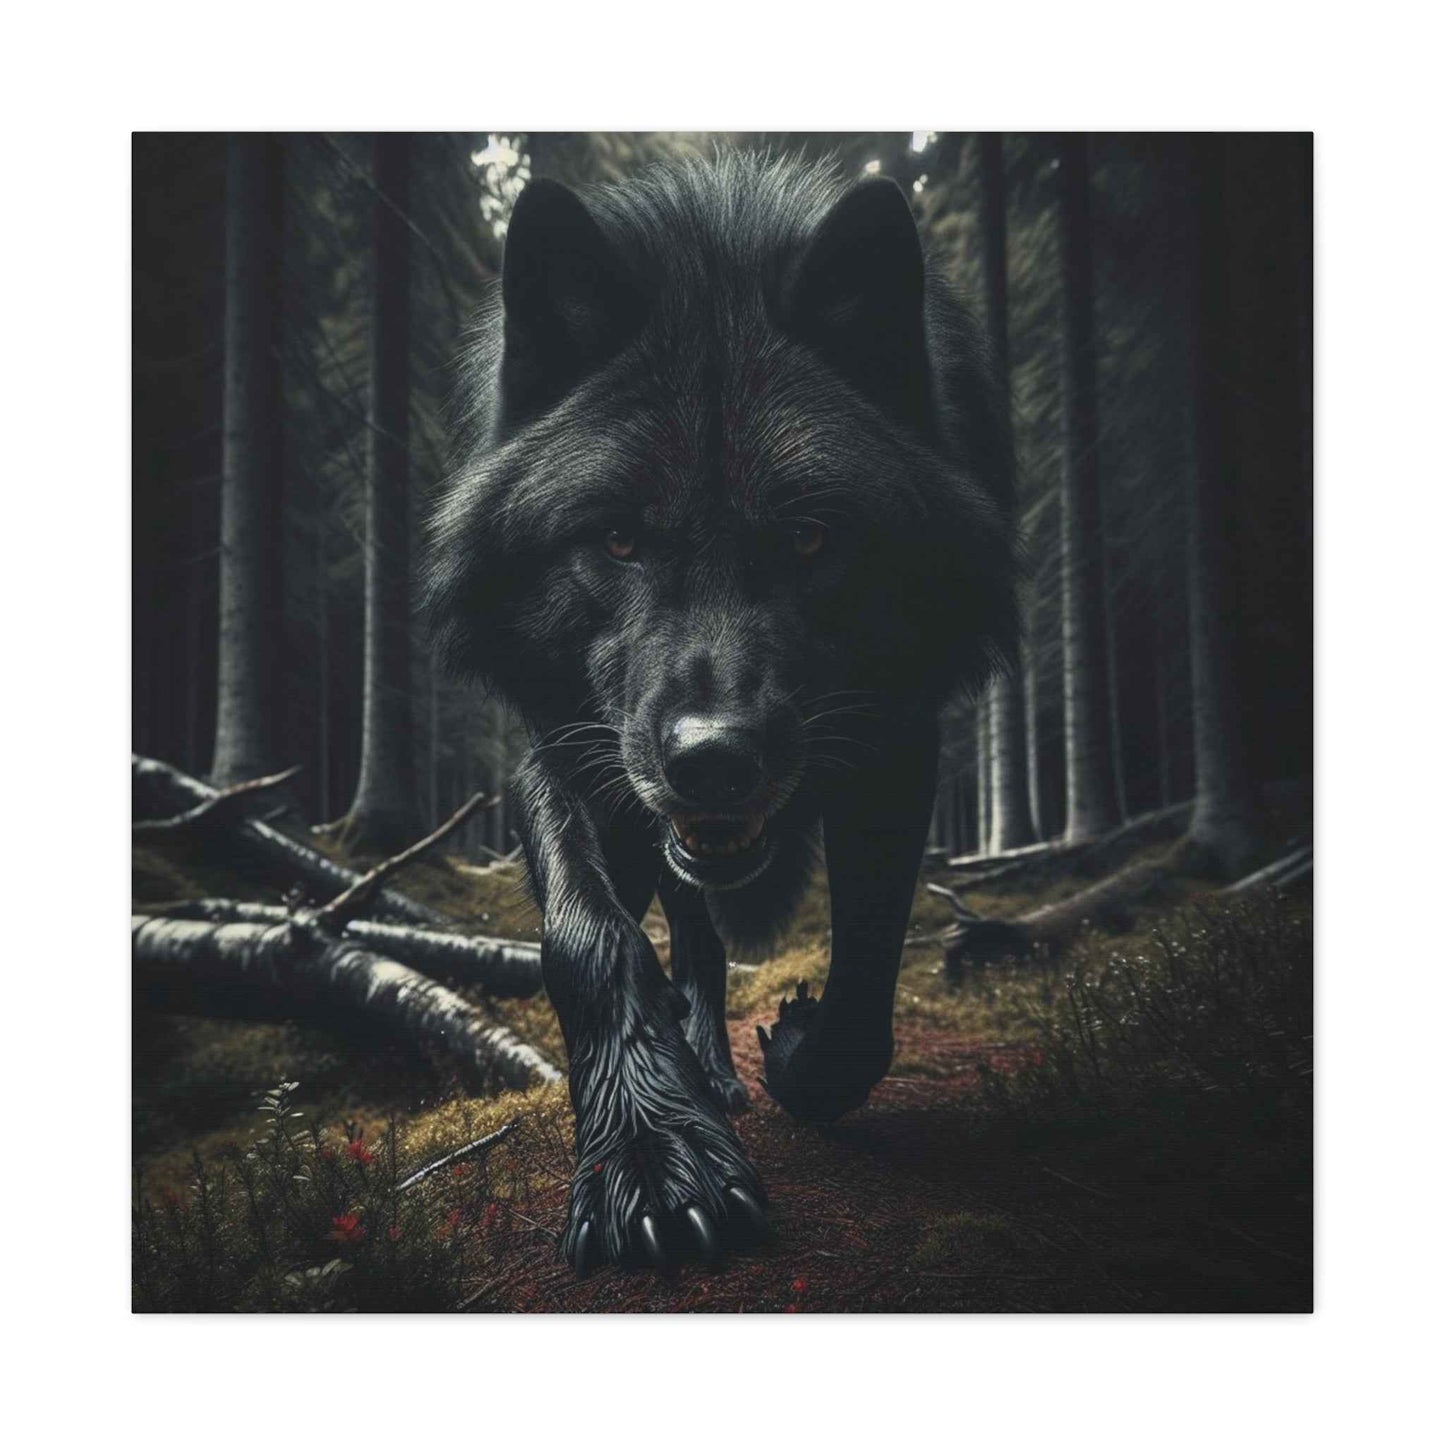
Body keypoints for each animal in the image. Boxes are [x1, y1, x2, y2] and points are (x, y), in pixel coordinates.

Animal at [424, 151, 1015, 1277]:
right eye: (616, 540)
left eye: (810, 537)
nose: (714, 760)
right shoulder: (561, 745)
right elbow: (591, 939)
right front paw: (652, 1155)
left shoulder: (895, 735)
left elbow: (867, 969)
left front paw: (793, 1053)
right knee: (681, 933)